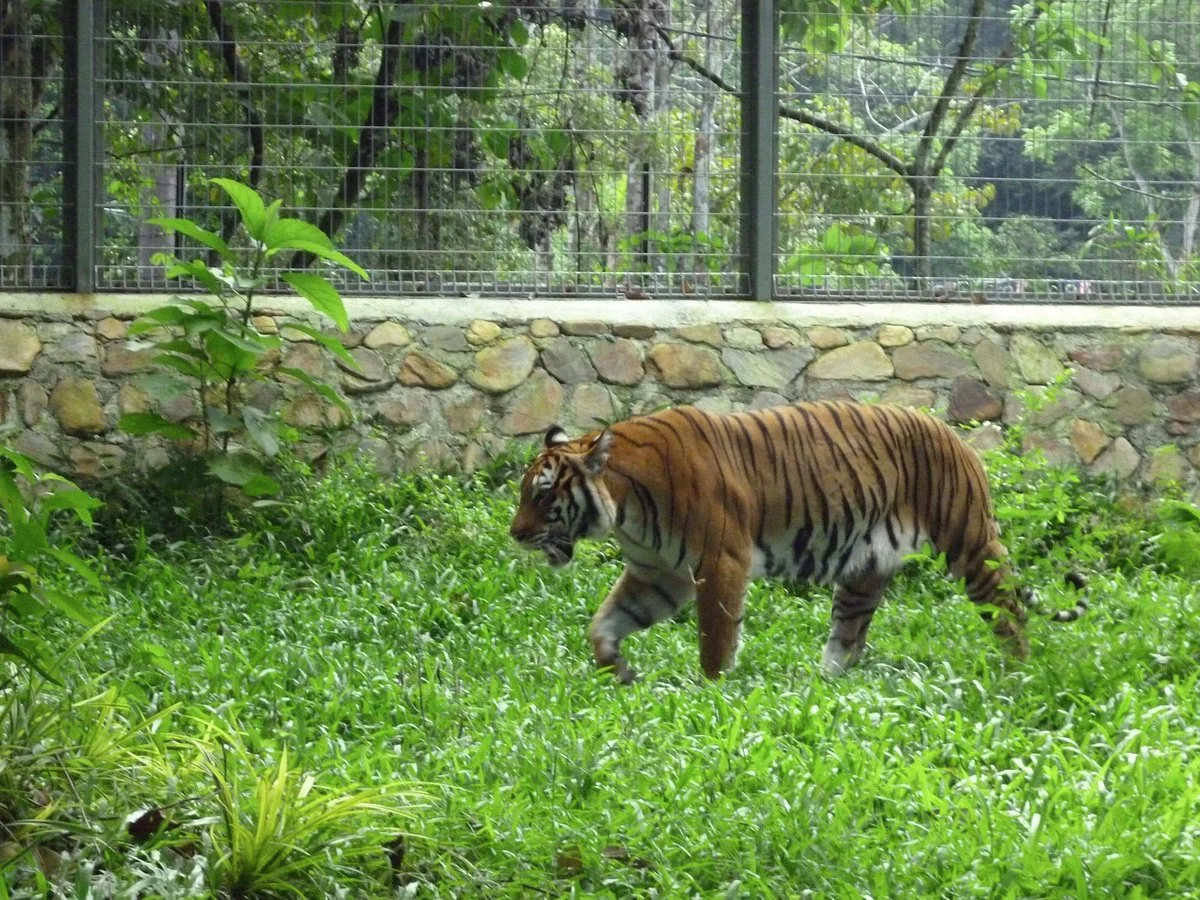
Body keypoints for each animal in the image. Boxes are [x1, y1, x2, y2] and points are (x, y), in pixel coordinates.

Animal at [508, 399, 1088, 684]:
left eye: (543, 494)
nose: (516, 534)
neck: (625, 504)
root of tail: (959, 438)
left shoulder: (720, 561)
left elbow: (715, 640)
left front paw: (712, 694)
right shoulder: (658, 574)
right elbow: (604, 624)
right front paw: (620, 670)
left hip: (968, 543)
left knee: (1010, 611)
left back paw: (1017, 674)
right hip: (863, 572)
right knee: (848, 637)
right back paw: (820, 687)